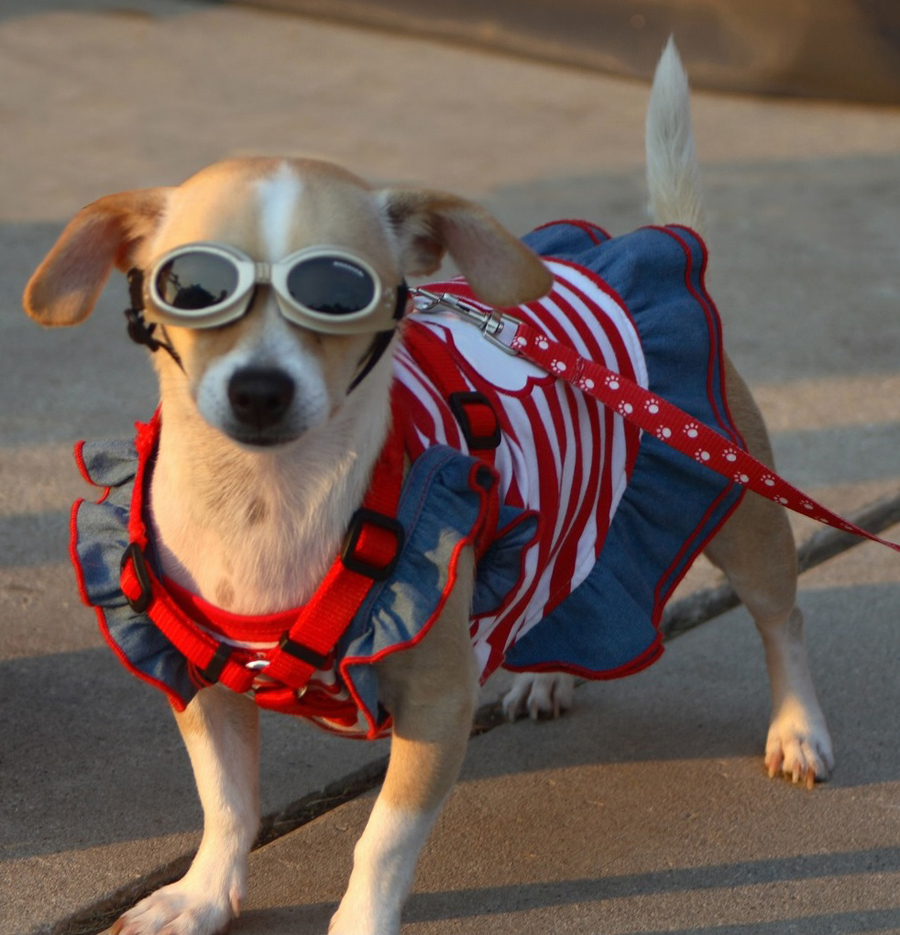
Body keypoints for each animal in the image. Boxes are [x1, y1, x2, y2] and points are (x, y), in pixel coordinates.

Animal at [22, 42, 836, 935]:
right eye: (190, 288)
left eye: (341, 293)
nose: (260, 388)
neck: (267, 500)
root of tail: (648, 242)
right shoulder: (202, 685)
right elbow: (227, 803)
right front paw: (202, 896)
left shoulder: (439, 706)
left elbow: (382, 838)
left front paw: (359, 921)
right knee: (571, 590)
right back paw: (549, 673)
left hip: (744, 516)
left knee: (783, 619)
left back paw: (799, 728)